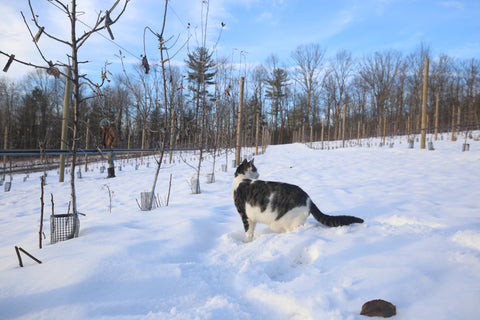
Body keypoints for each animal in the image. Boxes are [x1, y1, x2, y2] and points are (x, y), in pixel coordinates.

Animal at [232, 159, 364, 241]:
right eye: (256, 169)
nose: (259, 174)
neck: (241, 178)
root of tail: (309, 199)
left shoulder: (245, 215)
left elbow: (248, 232)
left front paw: (247, 243)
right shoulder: (251, 218)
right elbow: (251, 231)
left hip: (282, 221)